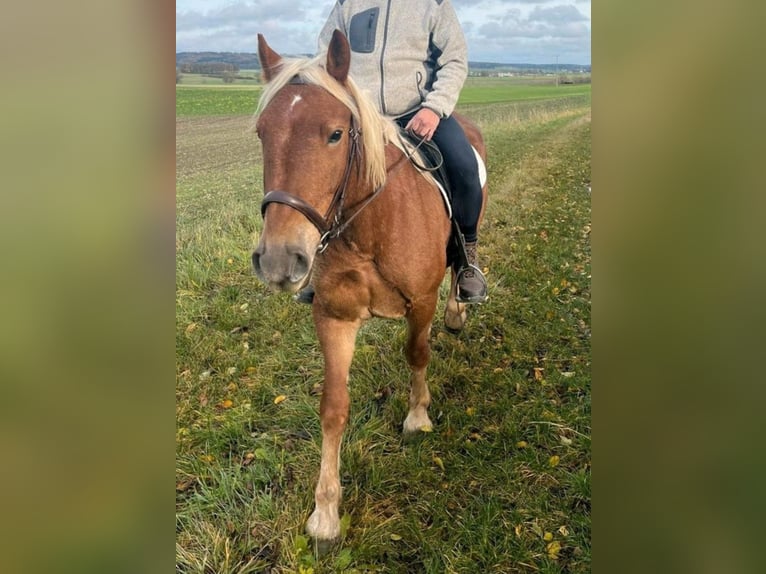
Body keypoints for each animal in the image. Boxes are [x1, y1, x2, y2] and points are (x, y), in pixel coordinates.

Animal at [255, 32, 488, 548]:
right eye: (261, 133)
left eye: (335, 134)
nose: (280, 259)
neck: (368, 230)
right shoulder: (334, 318)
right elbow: (333, 407)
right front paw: (325, 513)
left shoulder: (420, 302)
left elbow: (417, 354)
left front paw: (417, 417)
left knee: (463, 258)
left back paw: (459, 307)